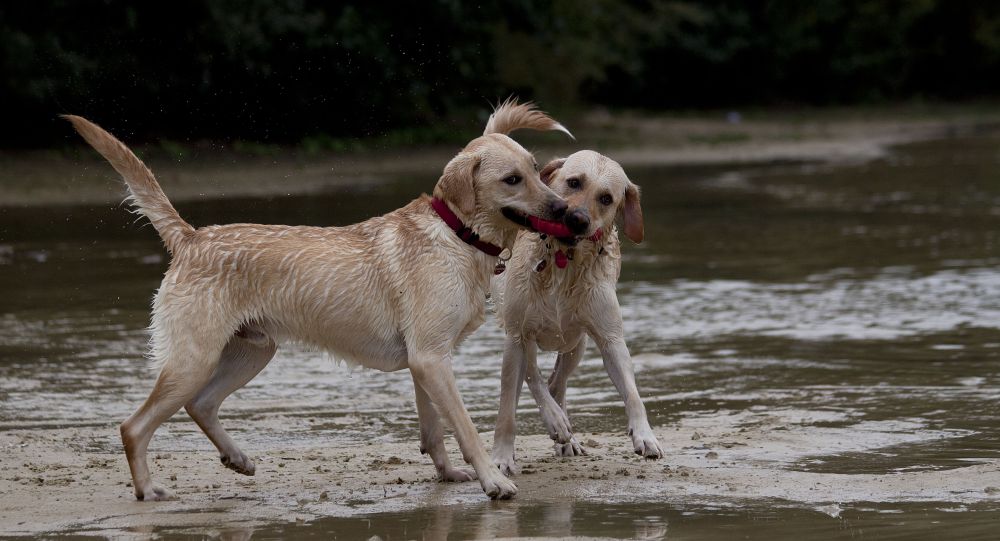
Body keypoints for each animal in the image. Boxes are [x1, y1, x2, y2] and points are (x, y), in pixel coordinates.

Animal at [64, 99, 572, 500]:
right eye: (512, 180)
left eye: (536, 169)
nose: (566, 211)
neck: (455, 236)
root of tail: (191, 238)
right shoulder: (431, 359)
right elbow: (465, 428)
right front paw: (494, 481)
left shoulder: (424, 362)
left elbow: (434, 431)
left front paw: (447, 474)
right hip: (194, 358)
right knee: (135, 426)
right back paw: (149, 489)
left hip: (252, 351)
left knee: (201, 406)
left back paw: (237, 458)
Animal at [492, 150, 664, 474]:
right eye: (574, 182)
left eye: (606, 198)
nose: (577, 218)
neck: (564, 260)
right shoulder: (516, 334)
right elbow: (509, 406)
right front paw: (502, 456)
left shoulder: (610, 339)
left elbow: (632, 393)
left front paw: (645, 435)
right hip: (518, 333)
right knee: (533, 377)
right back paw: (556, 421)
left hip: (576, 343)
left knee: (555, 382)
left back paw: (566, 438)